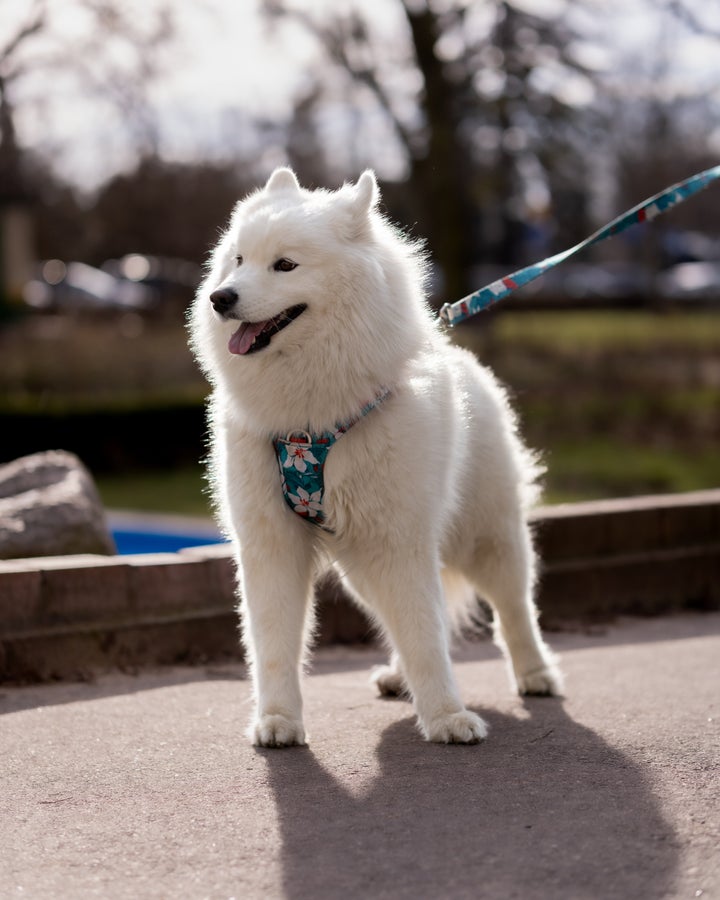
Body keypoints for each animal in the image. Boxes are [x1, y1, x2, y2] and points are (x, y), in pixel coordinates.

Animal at [187, 167, 564, 744]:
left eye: (285, 264)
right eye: (238, 260)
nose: (220, 298)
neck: (309, 419)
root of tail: (465, 358)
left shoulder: (399, 539)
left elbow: (425, 632)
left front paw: (446, 716)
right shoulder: (271, 543)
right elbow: (274, 644)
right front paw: (277, 720)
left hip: (487, 537)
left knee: (513, 609)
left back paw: (536, 674)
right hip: (360, 567)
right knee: (396, 616)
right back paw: (396, 675)